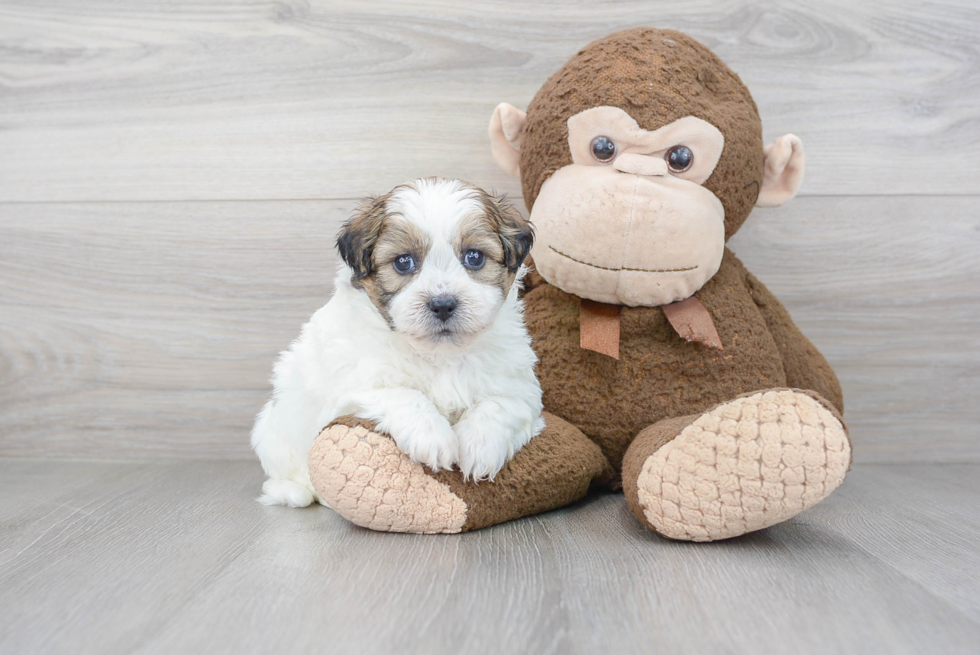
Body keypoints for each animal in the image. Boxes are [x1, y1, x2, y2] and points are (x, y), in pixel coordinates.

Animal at [251, 178, 544, 508]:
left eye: (474, 257)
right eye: (404, 262)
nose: (443, 304)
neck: (440, 355)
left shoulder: (520, 388)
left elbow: (500, 405)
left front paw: (480, 445)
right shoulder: (352, 385)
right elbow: (401, 394)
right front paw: (433, 437)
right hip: (272, 433)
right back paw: (293, 491)